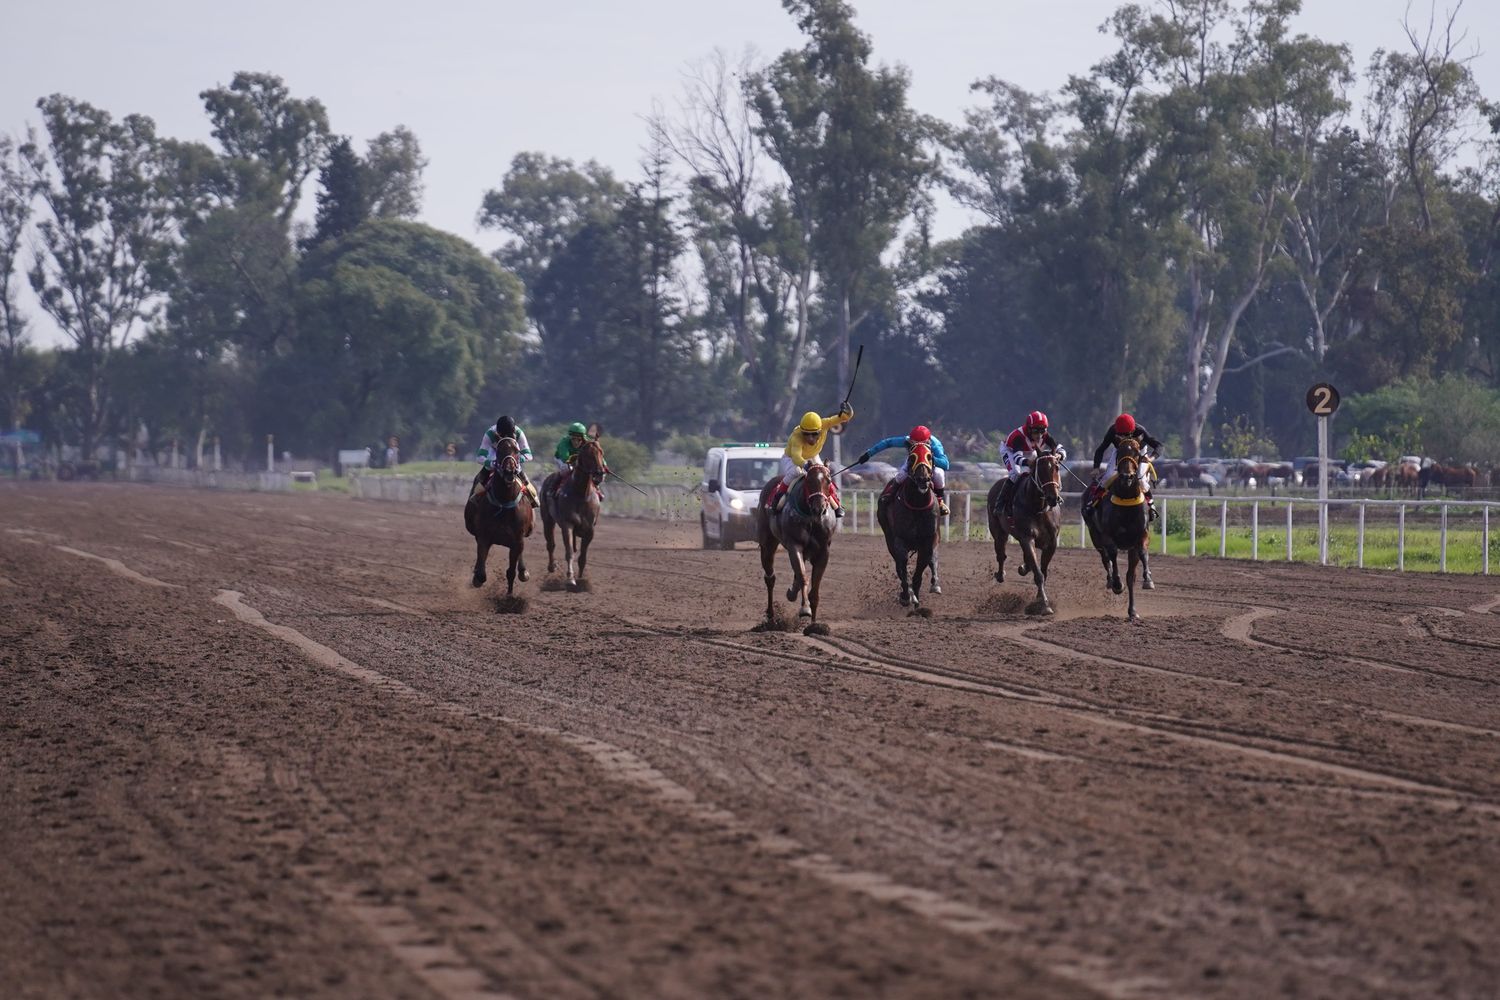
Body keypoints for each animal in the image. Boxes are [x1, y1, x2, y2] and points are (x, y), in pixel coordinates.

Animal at [468, 434, 540, 593]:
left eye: (517, 450)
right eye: (499, 450)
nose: (509, 471)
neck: (504, 501)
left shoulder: (517, 539)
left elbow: (511, 572)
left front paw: (509, 597)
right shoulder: (484, 536)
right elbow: (481, 574)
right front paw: (476, 577)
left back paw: (523, 572)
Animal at [543, 440, 606, 593]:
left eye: (601, 452)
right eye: (588, 454)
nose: (599, 473)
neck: (581, 493)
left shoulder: (590, 530)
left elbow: (582, 557)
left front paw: (581, 580)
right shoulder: (568, 525)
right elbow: (570, 552)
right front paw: (571, 579)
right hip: (547, 519)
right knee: (550, 544)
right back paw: (552, 566)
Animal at [876, 443, 942, 611]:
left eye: (929, 456)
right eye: (912, 457)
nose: (923, 479)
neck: (917, 504)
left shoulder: (928, 541)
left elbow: (920, 569)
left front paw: (916, 599)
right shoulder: (899, 540)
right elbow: (902, 566)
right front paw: (906, 596)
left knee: (933, 559)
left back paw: (935, 584)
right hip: (889, 537)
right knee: (899, 565)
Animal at [984, 449, 1068, 614]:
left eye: (1056, 467)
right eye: (1040, 470)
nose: (1053, 498)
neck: (1038, 507)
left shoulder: (1051, 543)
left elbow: (1043, 571)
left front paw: (1039, 599)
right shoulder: (1027, 537)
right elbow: (1038, 574)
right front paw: (1044, 604)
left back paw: (1023, 567)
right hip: (998, 532)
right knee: (1001, 554)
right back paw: (1000, 574)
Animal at [1086, 440, 1152, 620]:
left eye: (1137, 453)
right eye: (1120, 452)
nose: (1127, 476)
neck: (1127, 499)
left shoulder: (1140, 536)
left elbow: (1142, 555)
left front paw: (1148, 579)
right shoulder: (1108, 537)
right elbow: (1113, 555)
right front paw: (1117, 583)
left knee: (1130, 574)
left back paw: (1132, 610)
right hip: (1095, 536)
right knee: (1105, 558)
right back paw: (1110, 581)